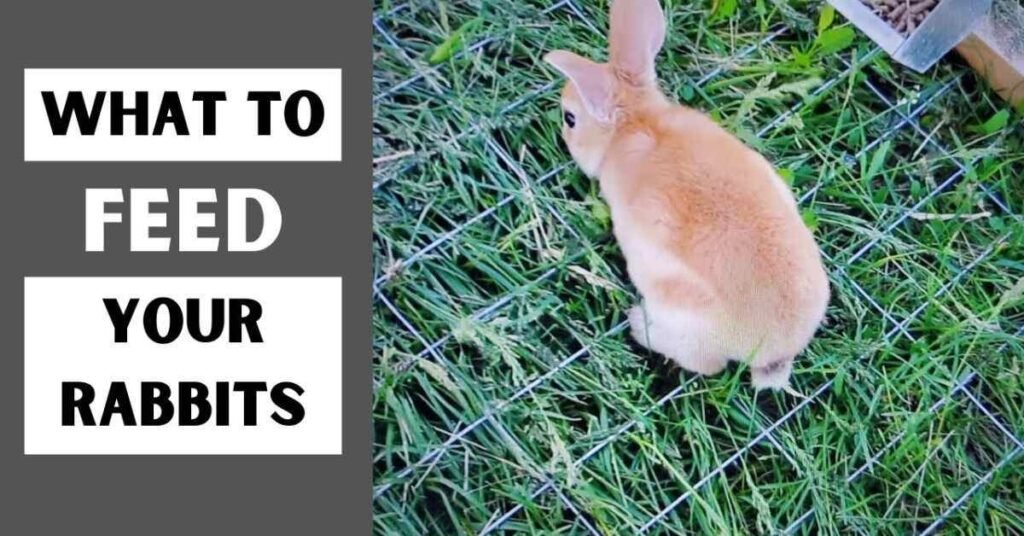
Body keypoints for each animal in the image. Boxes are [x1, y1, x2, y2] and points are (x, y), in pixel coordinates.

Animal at [543, 0, 829, 389]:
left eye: (570, 118)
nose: (561, 130)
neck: (636, 123)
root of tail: (776, 354)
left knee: (706, 364)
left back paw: (638, 323)